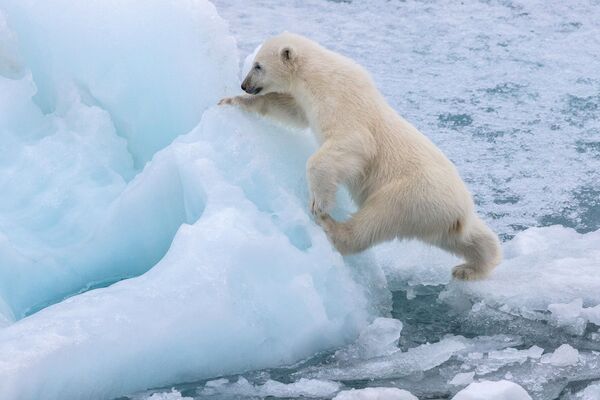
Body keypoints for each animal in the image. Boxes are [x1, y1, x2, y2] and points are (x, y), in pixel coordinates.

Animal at [219, 32, 502, 282]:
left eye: (258, 65)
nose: (245, 84)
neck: (316, 74)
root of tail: (459, 212)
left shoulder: (339, 101)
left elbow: (352, 144)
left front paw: (319, 203)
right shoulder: (307, 100)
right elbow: (290, 110)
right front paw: (232, 100)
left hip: (413, 195)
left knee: (378, 217)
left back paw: (332, 227)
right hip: (441, 219)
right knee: (471, 238)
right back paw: (469, 268)